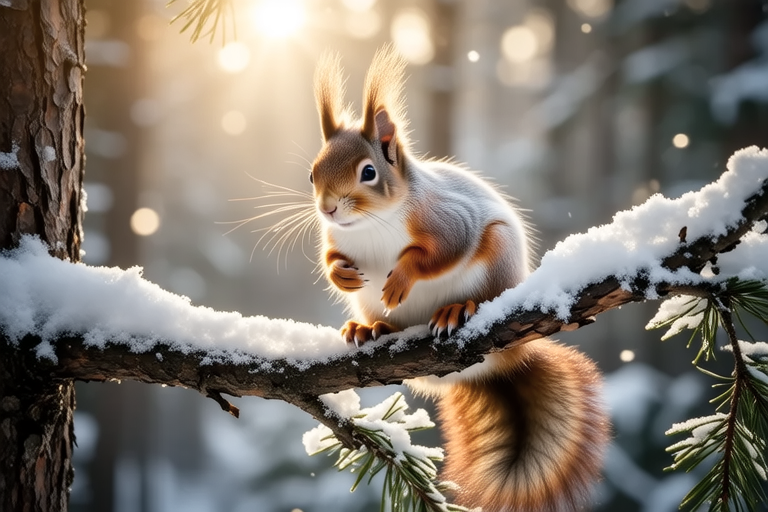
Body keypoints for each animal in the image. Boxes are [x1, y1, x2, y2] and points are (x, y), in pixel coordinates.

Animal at [309, 45, 609, 512]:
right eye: (311, 172)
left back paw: (457, 309)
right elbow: (331, 257)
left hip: (497, 259)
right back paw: (370, 327)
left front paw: (400, 278)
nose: (328, 208)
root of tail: (497, 366)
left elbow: (440, 253)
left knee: (482, 295)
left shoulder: (450, 219)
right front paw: (340, 273)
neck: (371, 225)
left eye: (368, 173)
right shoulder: (336, 237)